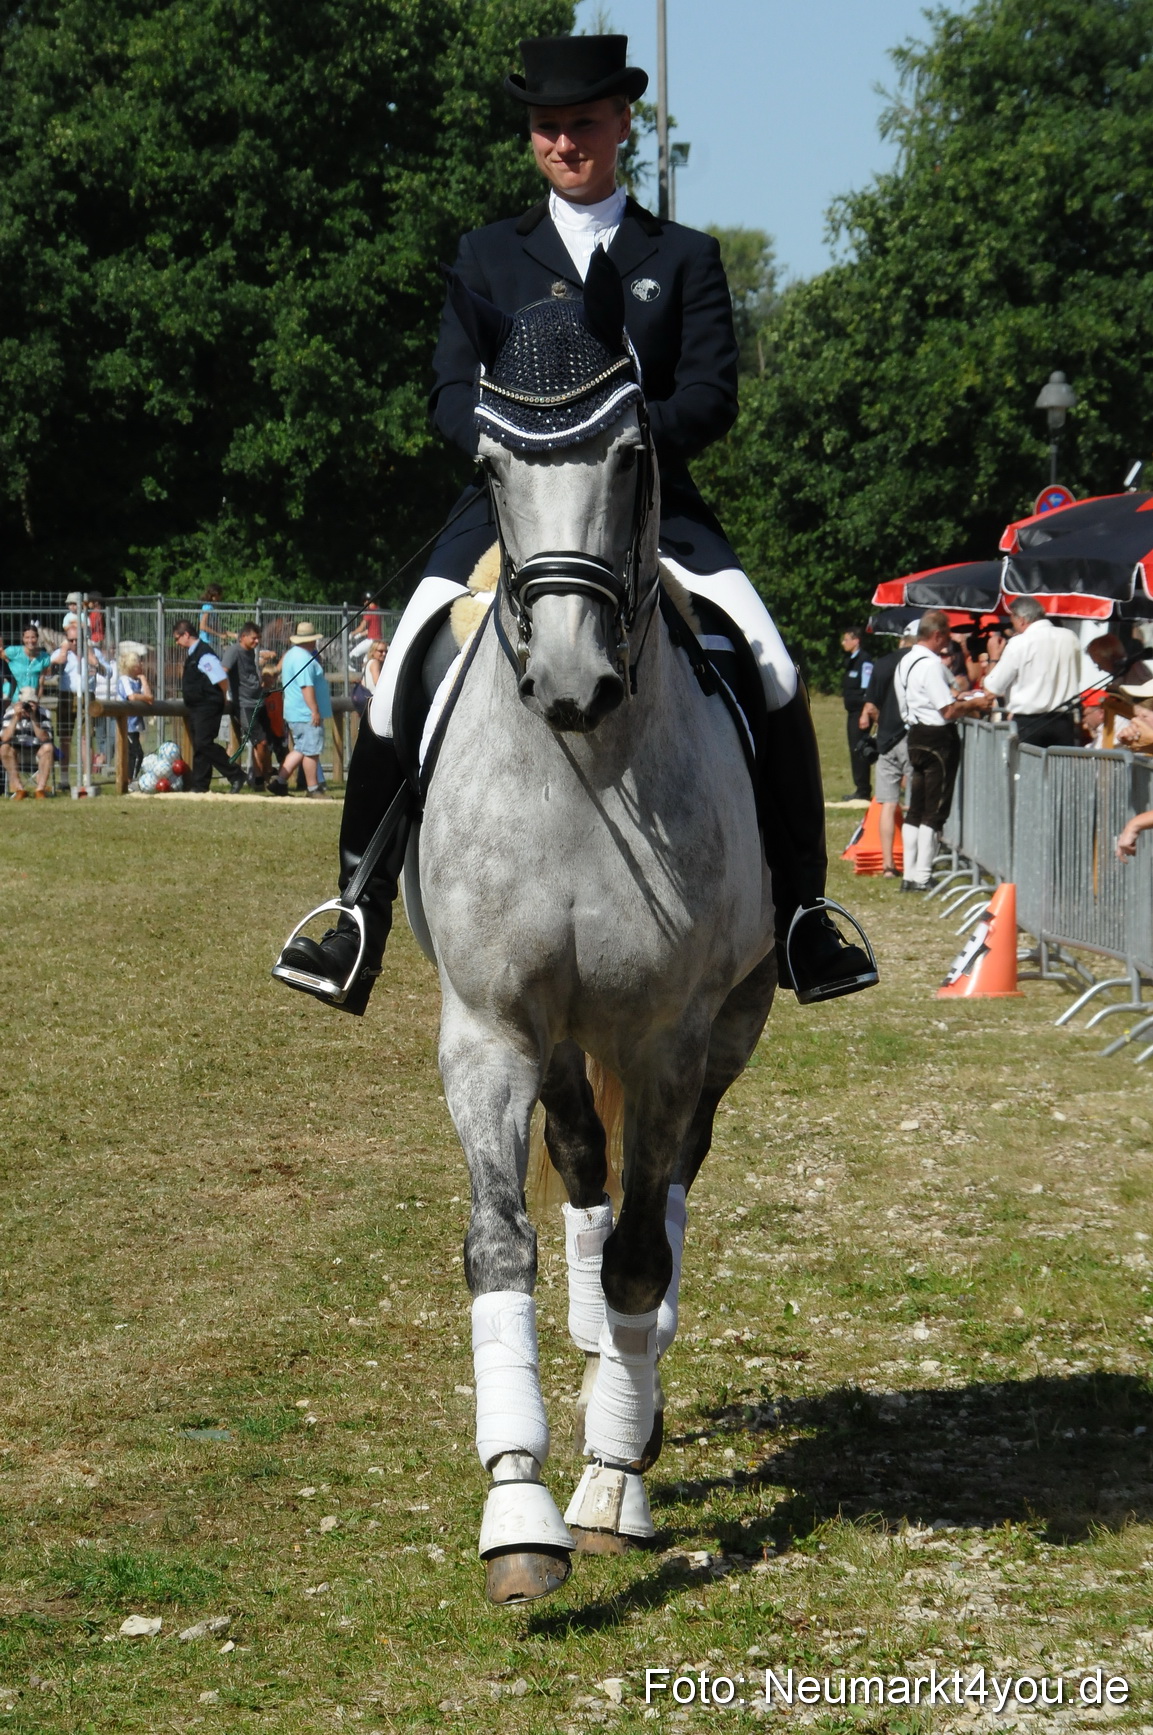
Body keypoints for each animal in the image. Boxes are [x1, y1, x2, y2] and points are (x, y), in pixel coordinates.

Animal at [416, 253, 777, 1603]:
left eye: (631, 455)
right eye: (488, 468)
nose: (572, 681)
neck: (579, 769)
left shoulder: (671, 1033)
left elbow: (640, 1248)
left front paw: (615, 1479)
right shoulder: (488, 1028)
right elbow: (499, 1245)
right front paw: (517, 1505)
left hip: (727, 1026)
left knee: (662, 1193)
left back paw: (637, 1391)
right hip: (563, 1038)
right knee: (580, 1162)